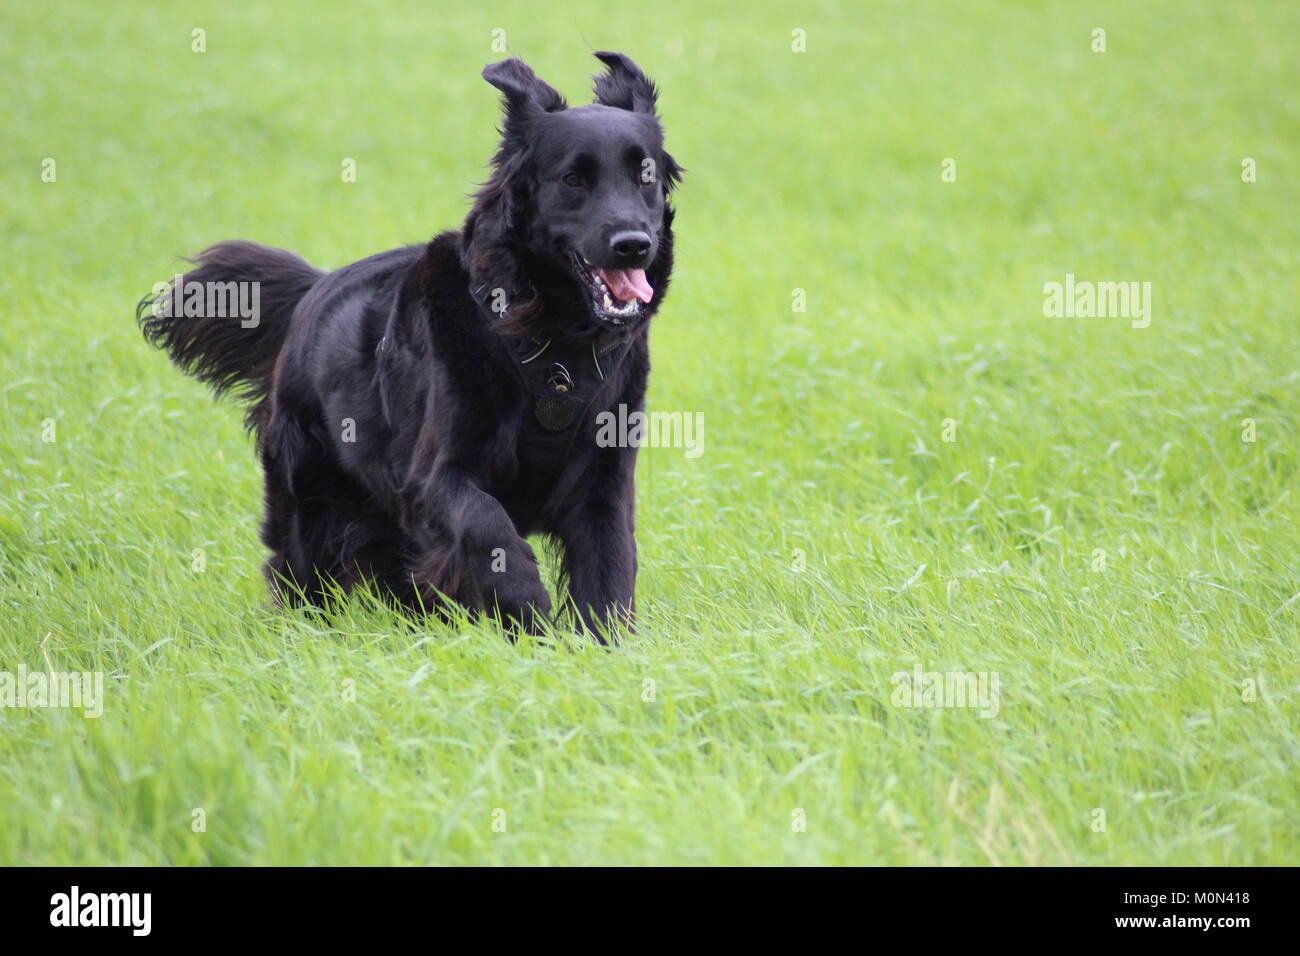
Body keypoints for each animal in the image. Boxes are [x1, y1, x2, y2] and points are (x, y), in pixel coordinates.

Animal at [141, 48, 686, 639]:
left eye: (646, 176)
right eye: (573, 179)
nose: (633, 244)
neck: (551, 348)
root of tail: (315, 289)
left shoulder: (603, 483)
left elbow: (608, 570)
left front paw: (599, 645)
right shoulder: (433, 479)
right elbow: (489, 529)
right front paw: (527, 609)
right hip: (308, 502)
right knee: (300, 576)